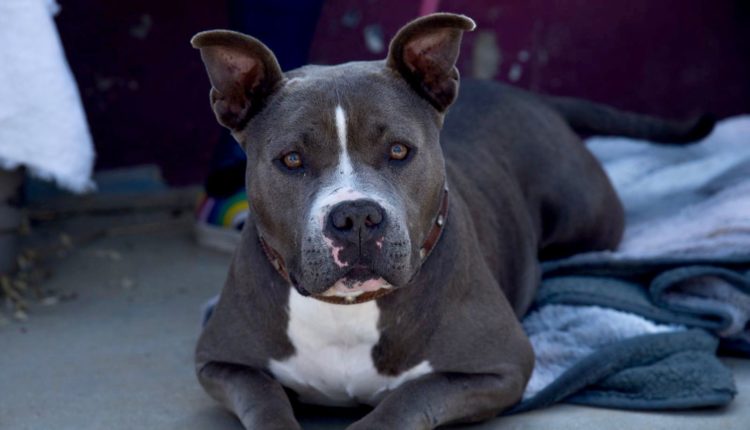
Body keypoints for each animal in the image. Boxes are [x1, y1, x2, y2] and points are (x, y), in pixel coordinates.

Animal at [191, 13, 713, 429]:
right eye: (292, 160)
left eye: (399, 150)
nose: (356, 215)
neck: (349, 308)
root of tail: (532, 97)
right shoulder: (221, 363)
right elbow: (266, 401)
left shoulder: (500, 366)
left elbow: (406, 399)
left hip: (587, 218)